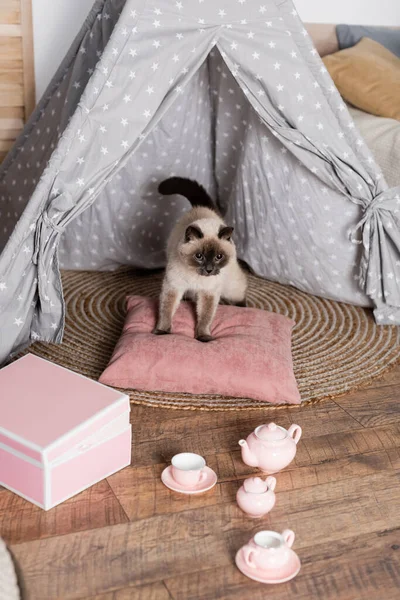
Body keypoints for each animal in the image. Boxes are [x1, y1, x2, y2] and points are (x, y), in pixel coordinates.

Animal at [153, 176, 247, 342]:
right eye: (199, 256)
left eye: (218, 257)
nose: (209, 270)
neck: (196, 277)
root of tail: (204, 209)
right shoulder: (173, 288)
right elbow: (166, 311)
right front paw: (162, 331)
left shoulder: (208, 293)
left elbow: (205, 317)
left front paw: (203, 337)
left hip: (231, 288)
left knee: (239, 294)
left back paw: (244, 308)